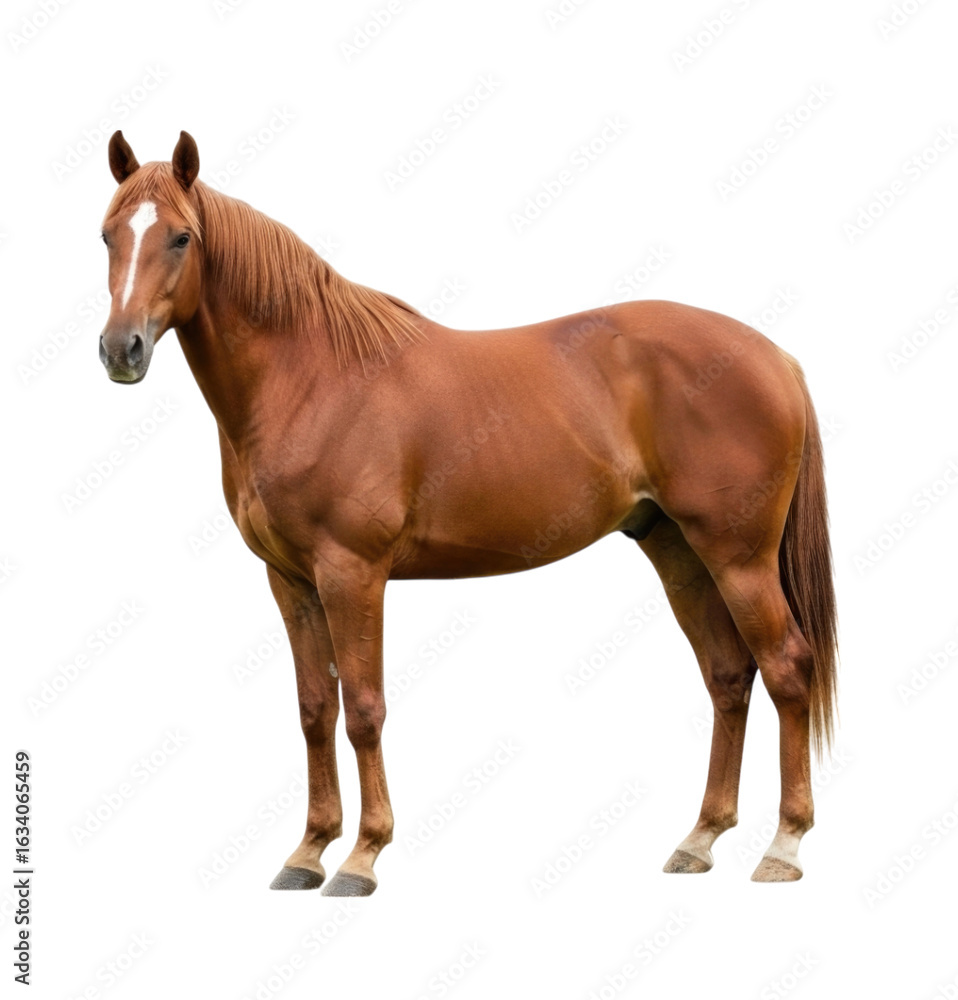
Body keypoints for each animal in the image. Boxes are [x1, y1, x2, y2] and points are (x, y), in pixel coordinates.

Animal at [97, 130, 837, 896]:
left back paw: (783, 847)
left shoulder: (352, 575)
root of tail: (776, 358)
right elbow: (314, 711)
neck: (310, 377)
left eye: (181, 237)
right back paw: (700, 839)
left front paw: (363, 856)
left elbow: (364, 709)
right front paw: (307, 851)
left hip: (739, 557)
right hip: (679, 551)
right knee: (728, 677)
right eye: (107, 236)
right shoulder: (291, 580)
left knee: (787, 669)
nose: (121, 350)